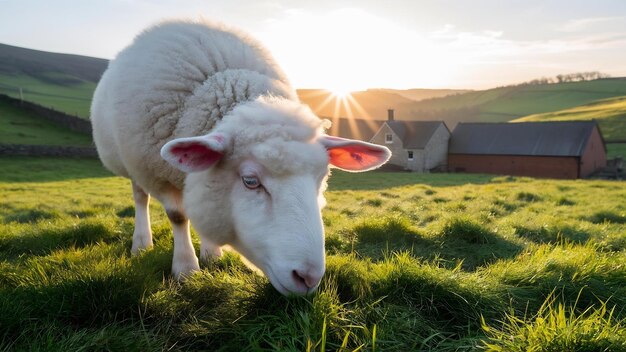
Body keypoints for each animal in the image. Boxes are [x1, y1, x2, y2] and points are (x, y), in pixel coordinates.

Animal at [91, 19, 390, 294]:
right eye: (250, 181)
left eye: (322, 179)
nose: (307, 278)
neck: (224, 85)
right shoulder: (156, 173)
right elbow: (177, 216)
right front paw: (186, 269)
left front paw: (209, 255)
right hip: (130, 162)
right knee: (140, 198)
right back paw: (141, 243)